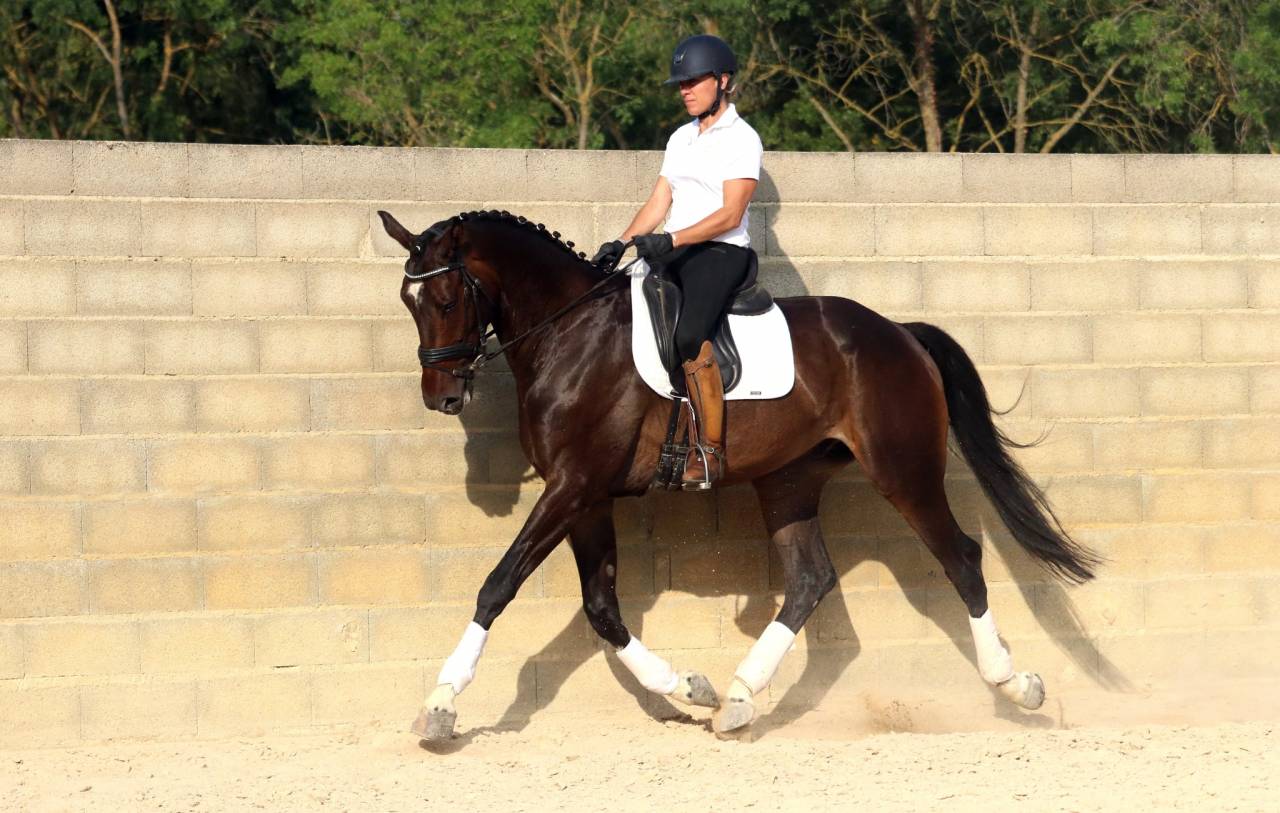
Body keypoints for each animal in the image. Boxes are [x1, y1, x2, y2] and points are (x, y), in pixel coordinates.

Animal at [377, 208, 1098, 741]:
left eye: (446, 296)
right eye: (410, 301)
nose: (441, 395)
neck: (569, 334)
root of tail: (899, 332)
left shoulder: (572, 486)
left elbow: (498, 585)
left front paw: (440, 703)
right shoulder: (585, 496)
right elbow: (603, 610)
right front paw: (689, 688)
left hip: (904, 470)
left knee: (962, 559)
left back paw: (1017, 685)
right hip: (788, 480)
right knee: (809, 578)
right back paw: (740, 699)